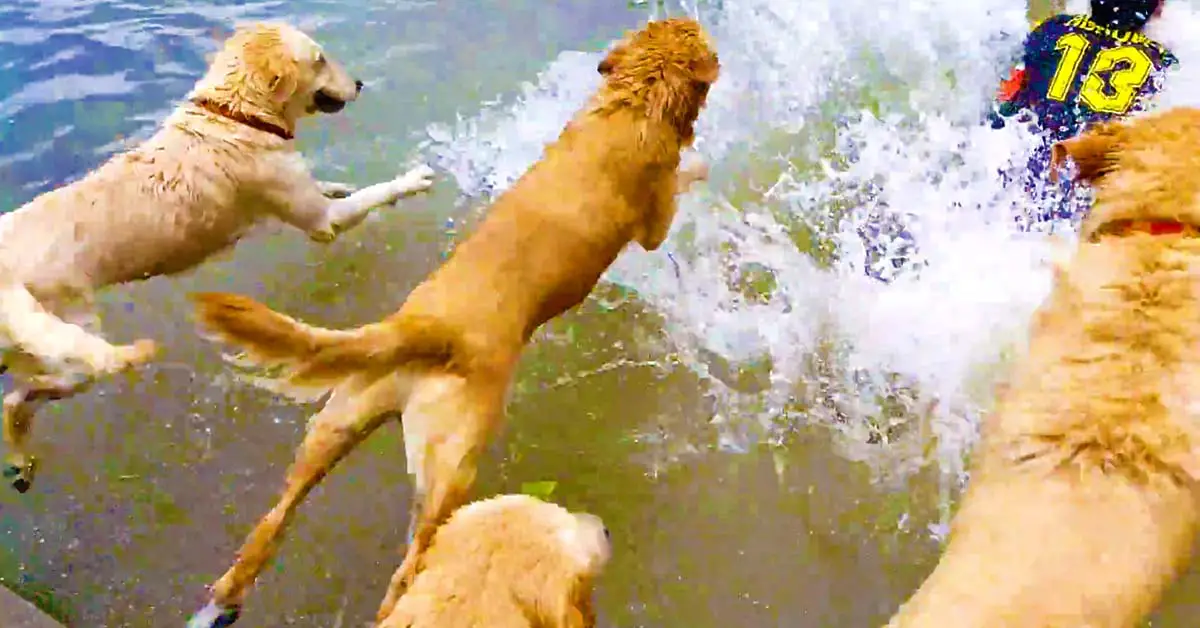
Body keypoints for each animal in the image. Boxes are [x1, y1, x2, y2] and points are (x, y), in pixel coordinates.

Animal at [182, 17, 715, 624]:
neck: (632, 105)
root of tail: (423, 330)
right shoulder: (654, 222)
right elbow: (684, 180)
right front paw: (701, 161)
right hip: (450, 472)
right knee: (409, 567)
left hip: (335, 424)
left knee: (272, 523)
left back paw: (225, 597)